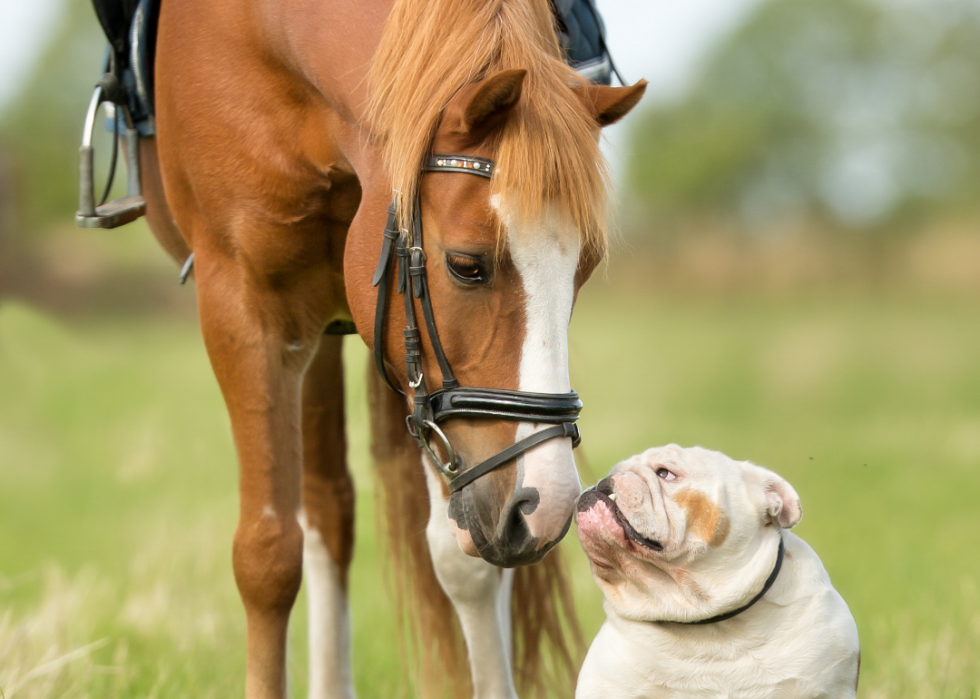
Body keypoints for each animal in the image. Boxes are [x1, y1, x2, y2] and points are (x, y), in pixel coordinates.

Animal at [138, 0, 644, 696]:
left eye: (585, 269)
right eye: (466, 266)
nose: (550, 505)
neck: (266, 30)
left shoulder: (431, 400)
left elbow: (466, 562)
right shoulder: (242, 305)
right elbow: (267, 557)